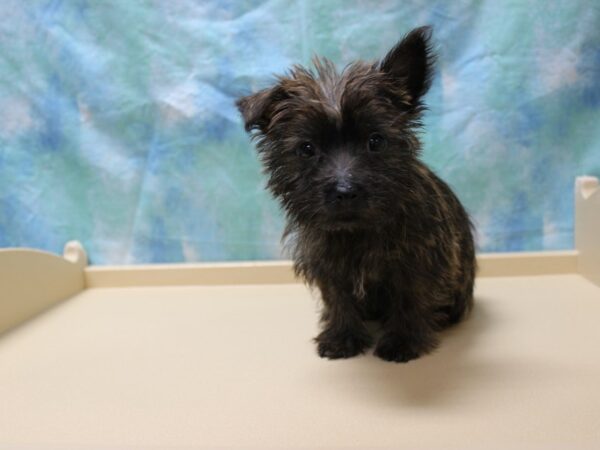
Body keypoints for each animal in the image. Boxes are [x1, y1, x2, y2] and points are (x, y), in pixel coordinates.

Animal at [237, 26, 476, 362]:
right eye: (307, 149)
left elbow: (410, 298)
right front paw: (342, 337)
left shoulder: (417, 263)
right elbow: (339, 301)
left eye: (375, 141)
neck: (357, 233)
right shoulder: (328, 267)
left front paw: (403, 341)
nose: (345, 191)